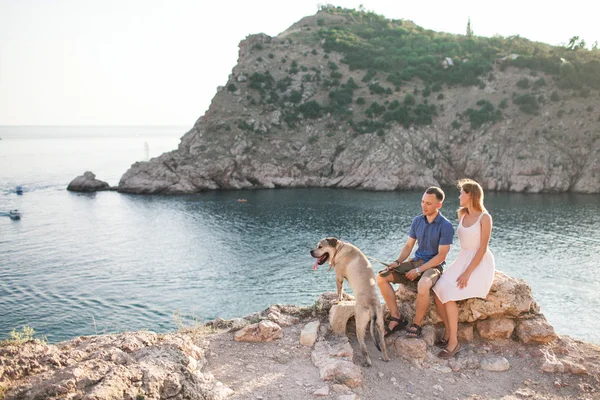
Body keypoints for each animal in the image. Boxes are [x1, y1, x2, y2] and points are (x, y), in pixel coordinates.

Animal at [310, 238, 390, 366]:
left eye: (320, 247)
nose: (311, 251)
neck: (339, 249)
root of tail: (372, 305)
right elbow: (342, 291)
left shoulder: (338, 277)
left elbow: (339, 292)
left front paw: (337, 301)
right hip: (380, 324)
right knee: (382, 342)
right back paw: (386, 357)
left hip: (360, 324)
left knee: (363, 345)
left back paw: (367, 361)